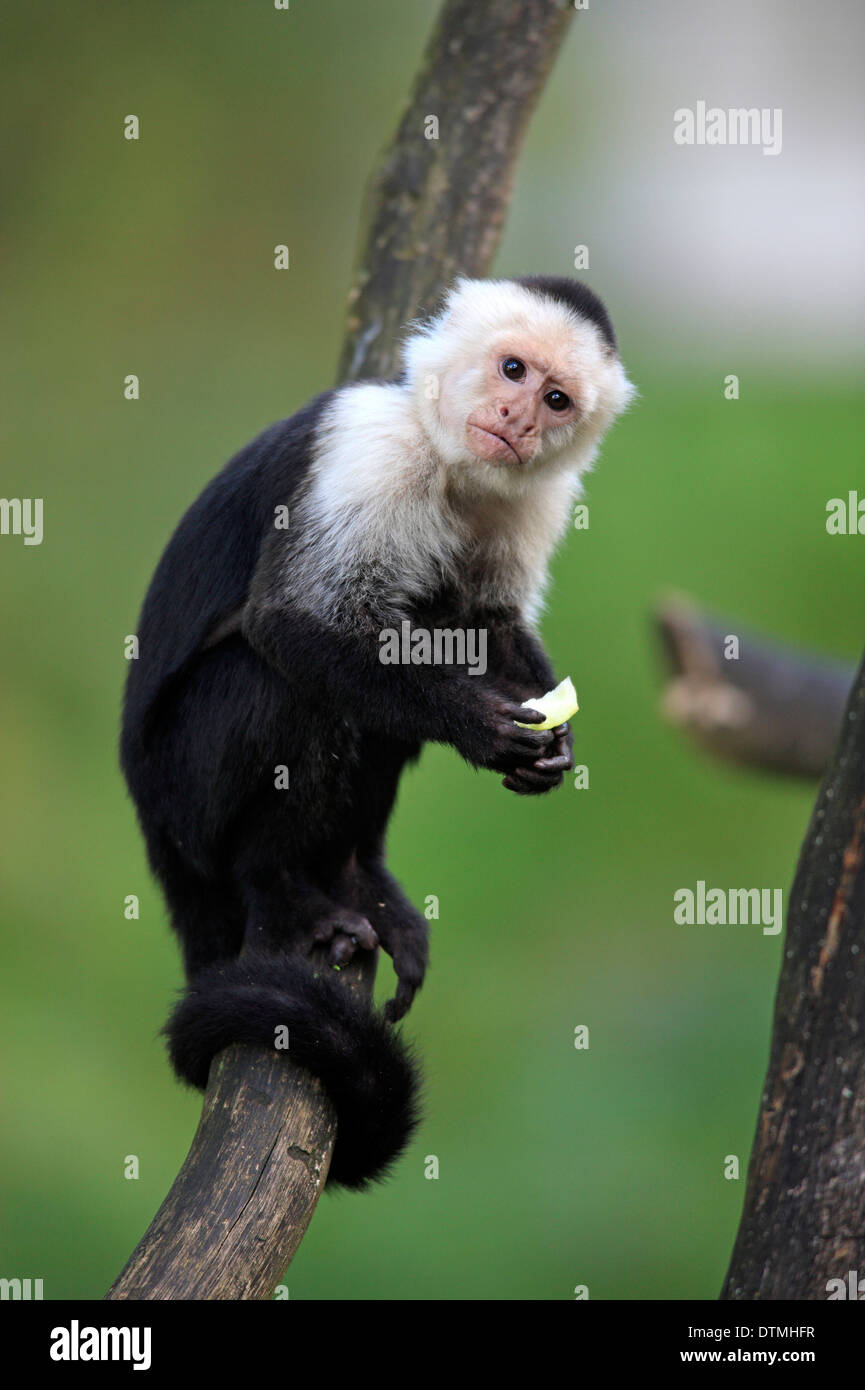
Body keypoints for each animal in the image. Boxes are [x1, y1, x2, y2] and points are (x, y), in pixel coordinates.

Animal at [120, 276, 636, 1189]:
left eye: (556, 399)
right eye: (511, 369)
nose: (517, 417)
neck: (451, 463)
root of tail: (152, 825)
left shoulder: (534, 498)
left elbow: (489, 626)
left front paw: (553, 745)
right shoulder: (369, 450)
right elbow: (291, 625)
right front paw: (477, 726)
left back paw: (363, 879)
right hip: (181, 795)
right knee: (283, 685)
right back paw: (280, 889)